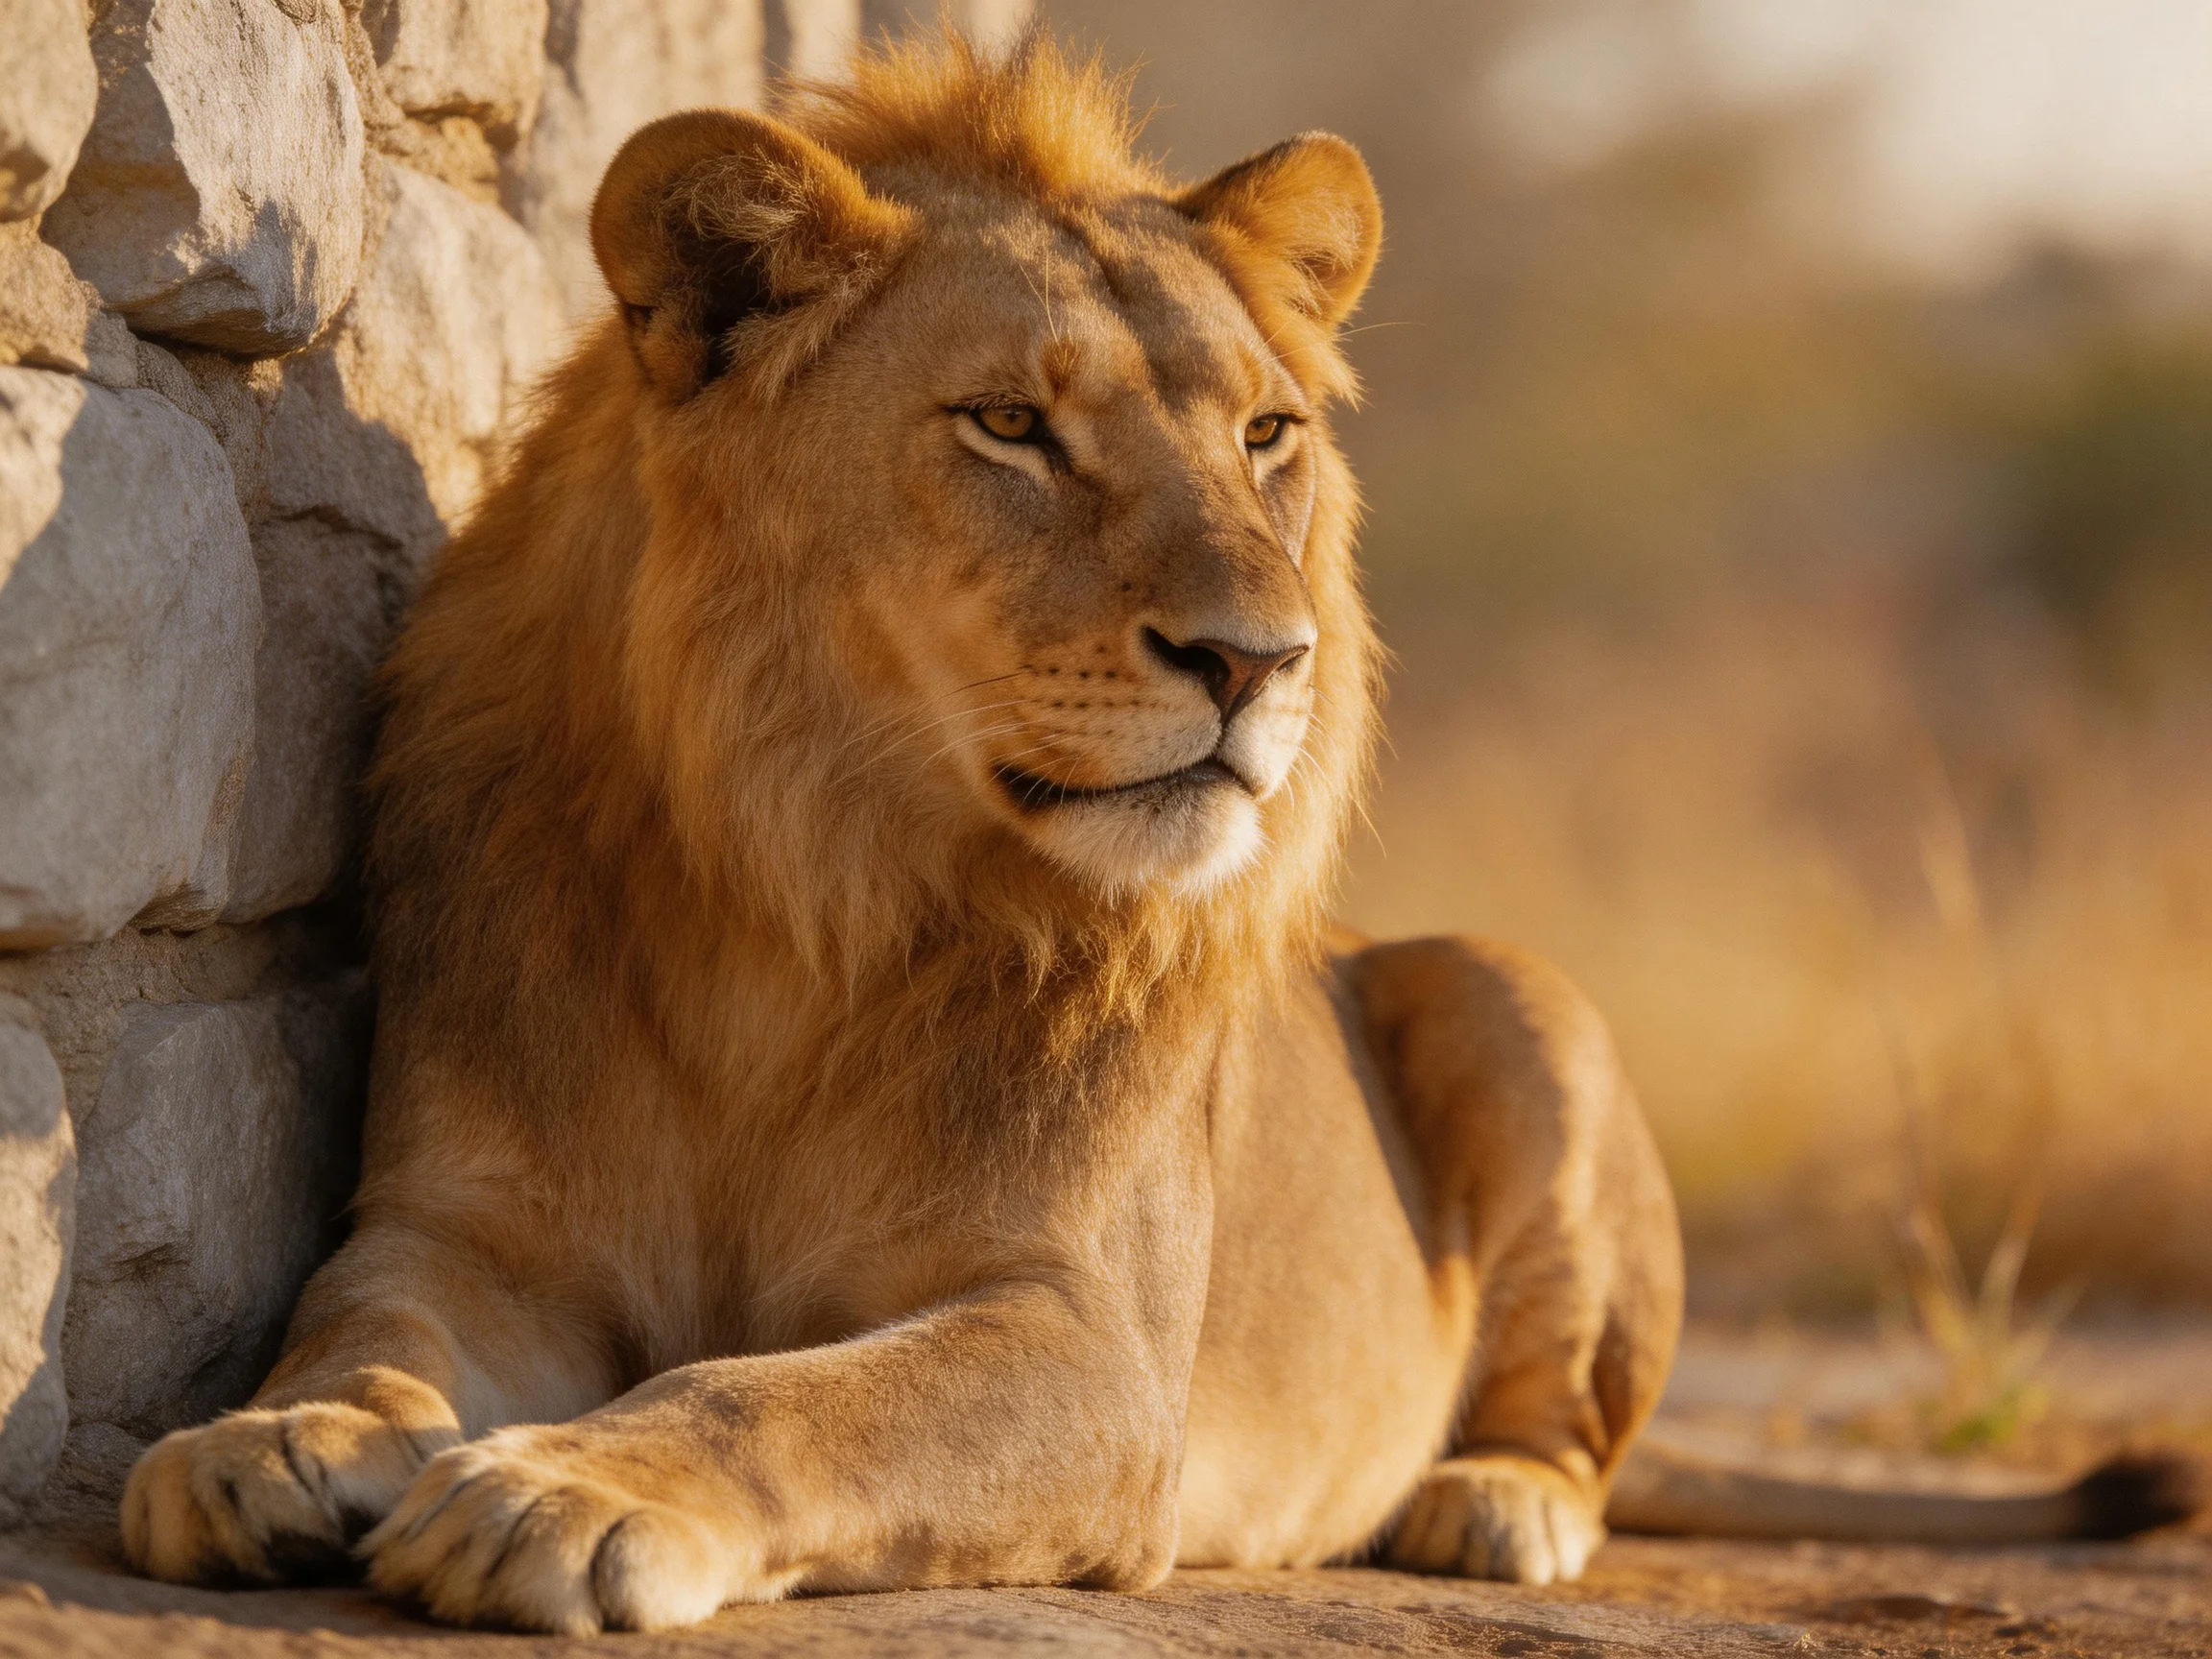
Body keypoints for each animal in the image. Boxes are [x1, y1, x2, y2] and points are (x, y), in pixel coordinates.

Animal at [116, 35, 2196, 1634]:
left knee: (1580, 1427)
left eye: (1266, 437)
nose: (1257, 658)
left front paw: (559, 1487)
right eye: (1010, 427)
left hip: (1503, 986)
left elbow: (769, 1400)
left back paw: (1486, 1499)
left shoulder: (1093, 1359)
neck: (805, 901)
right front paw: (274, 1441)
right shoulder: (468, 1224)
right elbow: (358, 1313)